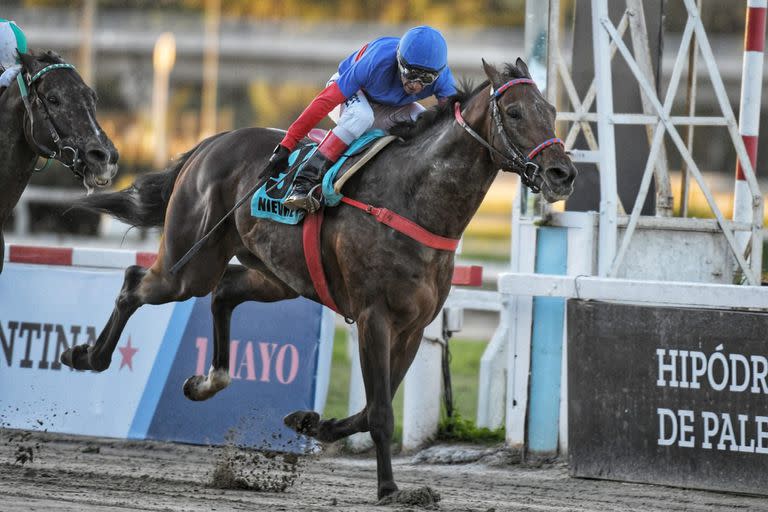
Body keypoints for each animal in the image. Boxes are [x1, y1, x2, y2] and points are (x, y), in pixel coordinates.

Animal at [61, 58, 576, 498]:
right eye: (514, 111)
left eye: (551, 111)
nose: (562, 173)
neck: (413, 200)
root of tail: (210, 142)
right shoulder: (374, 317)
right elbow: (381, 411)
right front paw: (390, 489)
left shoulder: (413, 326)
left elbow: (372, 407)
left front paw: (312, 424)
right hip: (188, 264)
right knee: (135, 282)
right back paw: (86, 356)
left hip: (277, 276)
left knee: (224, 292)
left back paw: (206, 382)